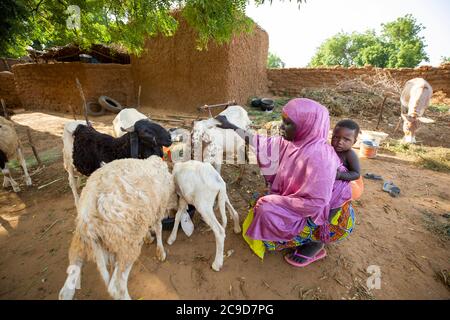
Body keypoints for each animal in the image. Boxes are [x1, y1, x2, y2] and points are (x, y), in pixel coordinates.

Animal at [58, 156, 174, 302]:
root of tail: (87, 217)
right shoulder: (158, 208)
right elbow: (158, 228)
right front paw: (160, 251)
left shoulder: (145, 212)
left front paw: (148, 236)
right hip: (127, 245)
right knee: (117, 288)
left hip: (80, 245)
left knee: (65, 291)